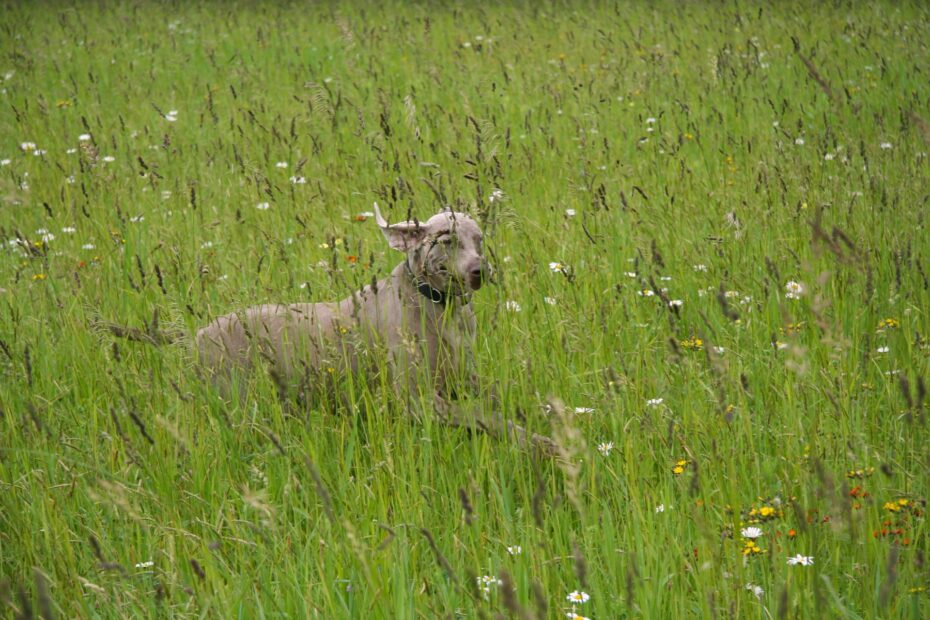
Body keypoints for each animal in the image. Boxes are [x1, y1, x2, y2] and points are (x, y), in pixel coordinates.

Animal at [194, 206, 552, 452]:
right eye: (447, 240)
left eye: (479, 240)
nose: (481, 270)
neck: (438, 307)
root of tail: (196, 338)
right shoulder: (418, 400)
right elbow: (485, 416)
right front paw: (541, 444)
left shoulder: (464, 378)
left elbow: (505, 396)